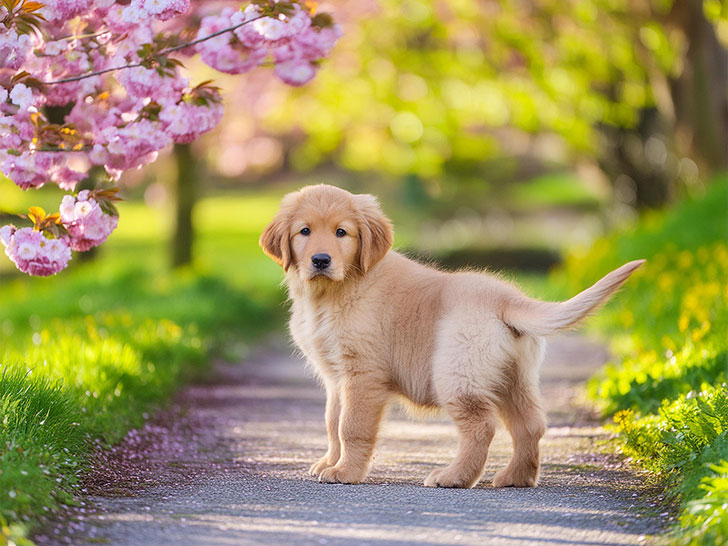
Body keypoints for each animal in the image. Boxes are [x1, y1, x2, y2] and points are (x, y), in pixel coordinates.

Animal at [258, 185, 644, 486]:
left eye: (342, 233)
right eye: (304, 231)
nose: (321, 260)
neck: (334, 292)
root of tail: (506, 298)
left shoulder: (362, 374)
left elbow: (350, 426)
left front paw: (346, 472)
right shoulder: (336, 377)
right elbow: (331, 422)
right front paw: (329, 462)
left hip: (457, 371)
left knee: (482, 427)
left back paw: (453, 477)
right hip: (512, 376)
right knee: (530, 425)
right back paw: (515, 477)